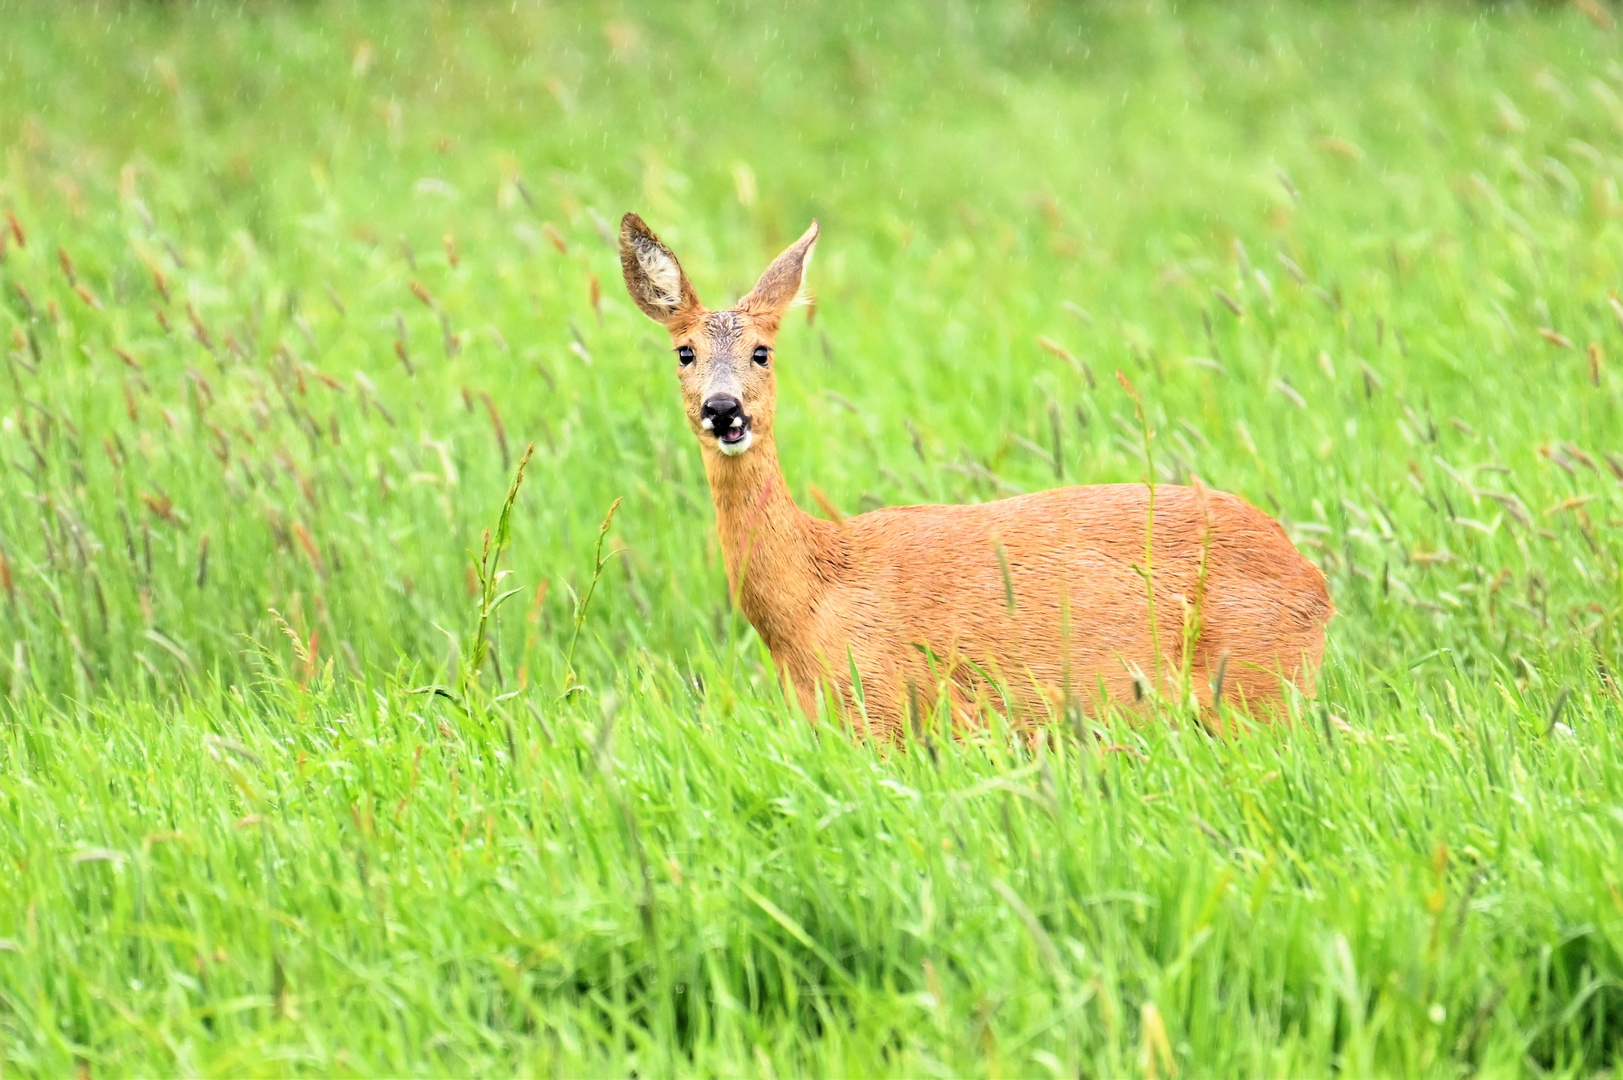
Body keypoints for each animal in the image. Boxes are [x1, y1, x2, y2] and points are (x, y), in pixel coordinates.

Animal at [619, 212, 1330, 734]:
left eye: (762, 352)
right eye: (685, 352)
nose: (723, 409)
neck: (814, 601)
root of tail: (1317, 583)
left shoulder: (886, 705)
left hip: (1260, 685)